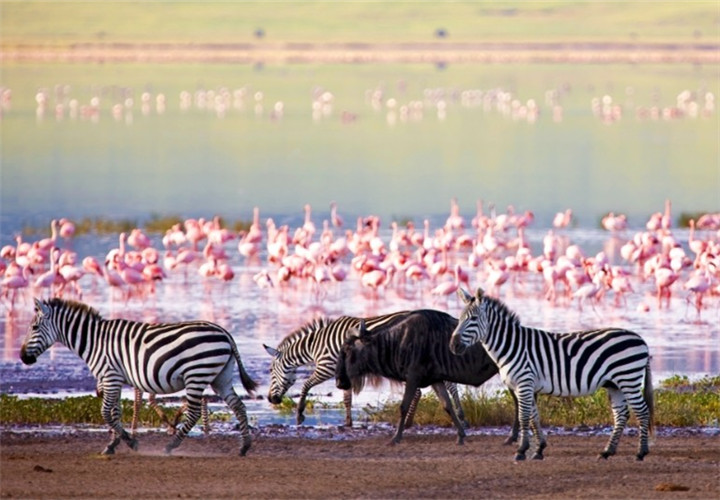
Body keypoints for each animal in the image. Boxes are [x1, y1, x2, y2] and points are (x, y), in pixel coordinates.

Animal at [21, 296, 258, 458]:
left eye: (34, 327)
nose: (23, 357)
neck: (94, 341)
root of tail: (224, 332)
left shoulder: (110, 376)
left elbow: (105, 412)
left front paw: (130, 442)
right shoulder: (114, 379)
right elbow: (115, 412)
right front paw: (113, 444)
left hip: (196, 374)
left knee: (194, 412)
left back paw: (170, 446)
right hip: (221, 377)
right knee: (238, 405)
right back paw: (244, 447)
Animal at [264, 312, 466, 426]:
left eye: (271, 372)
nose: (270, 399)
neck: (316, 345)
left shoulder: (326, 367)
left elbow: (306, 385)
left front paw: (299, 415)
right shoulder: (343, 372)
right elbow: (347, 399)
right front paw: (348, 423)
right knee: (447, 385)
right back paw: (459, 415)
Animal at [452, 288, 656, 462]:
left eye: (473, 318)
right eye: (460, 319)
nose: (453, 345)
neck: (512, 345)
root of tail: (641, 340)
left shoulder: (524, 383)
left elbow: (524, 417)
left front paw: (521, 451)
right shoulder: (526, 386)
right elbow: (534, 418)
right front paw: (538, 450)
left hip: (628, 379)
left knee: (642, 412)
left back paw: (641, 452)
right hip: (615, 384)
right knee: (621, 415)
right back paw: (607, 452)